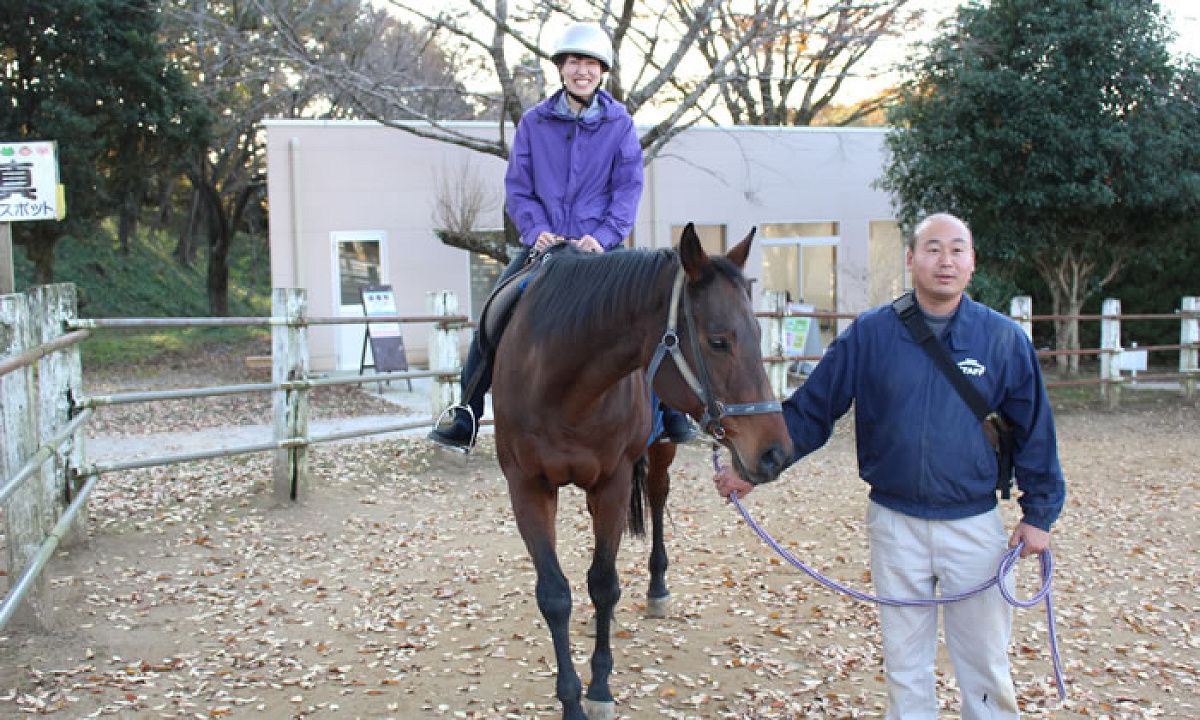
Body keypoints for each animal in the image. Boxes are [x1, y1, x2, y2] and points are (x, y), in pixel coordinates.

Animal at [490, 223, 793, 719]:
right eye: (718, 341)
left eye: (757, 332)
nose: (775, 453)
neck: (563, 388)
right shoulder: (527, 487)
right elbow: (555, 595)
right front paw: (571, 699)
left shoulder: (612, 484)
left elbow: (603, 584)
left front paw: (598, 689)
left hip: (658, 455)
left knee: (656, 497)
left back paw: (657, 588)